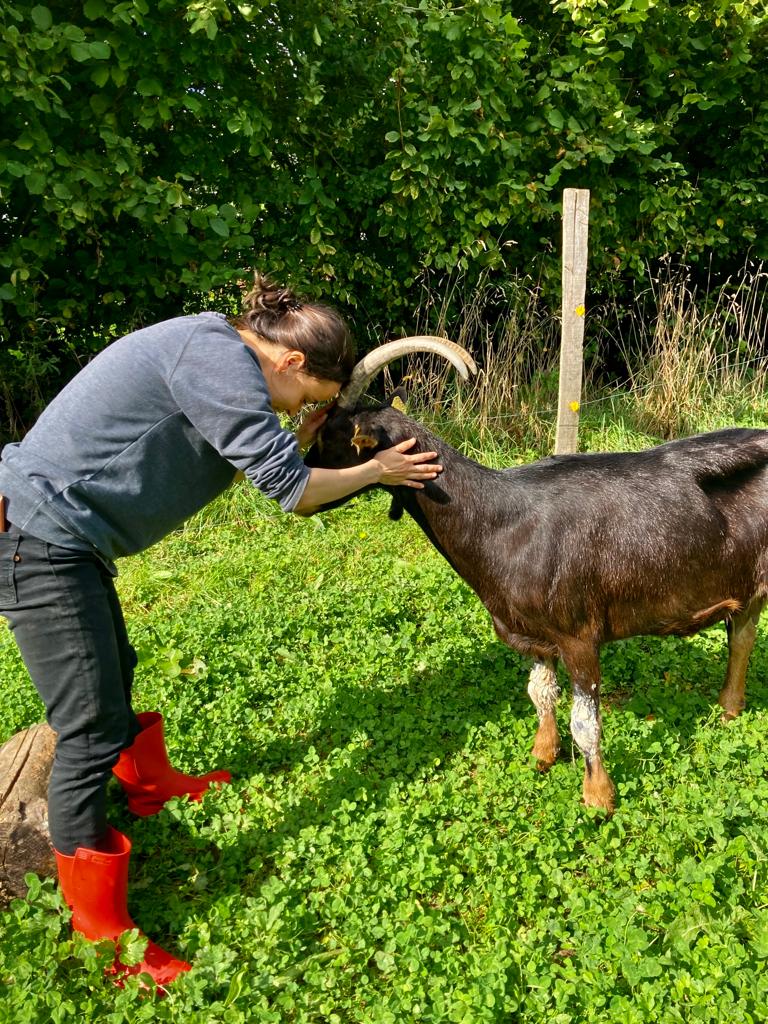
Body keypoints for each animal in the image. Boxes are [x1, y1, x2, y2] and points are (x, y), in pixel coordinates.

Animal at [307, 395, 768, 811]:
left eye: (330, 436)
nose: (304, 476)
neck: (502, 523)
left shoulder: (578, 634)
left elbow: (585, 722)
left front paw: (598, 796)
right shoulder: (531, 632)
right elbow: (541, 693)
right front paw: (543, 754)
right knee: (743, 638)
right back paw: (729, 709)